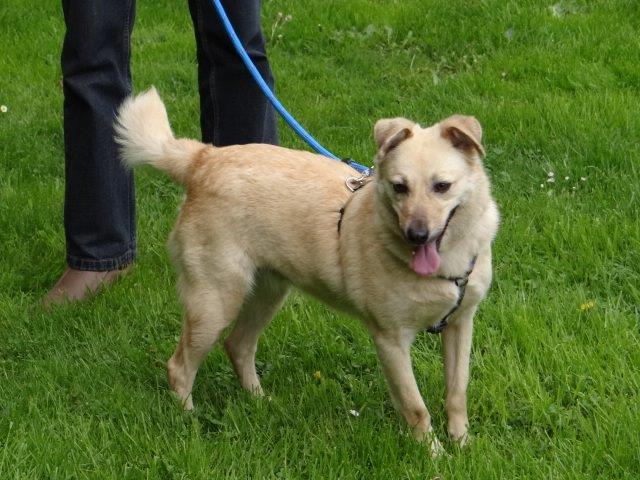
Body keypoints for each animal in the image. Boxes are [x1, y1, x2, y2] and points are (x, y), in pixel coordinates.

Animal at [115, 88, 499, 455]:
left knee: (238, 345)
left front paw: (462, 443)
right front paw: (434, 454)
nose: (416, 235)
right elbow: (416, 408)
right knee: (180, 366)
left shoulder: (461, 325)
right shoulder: (391, 339)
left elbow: (457, 392)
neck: (445, 266)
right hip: (215, 303)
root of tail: (203, 159)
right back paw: (189, 420)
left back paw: (260, 401)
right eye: (399, 187)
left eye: (442, 186)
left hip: (267, 294)